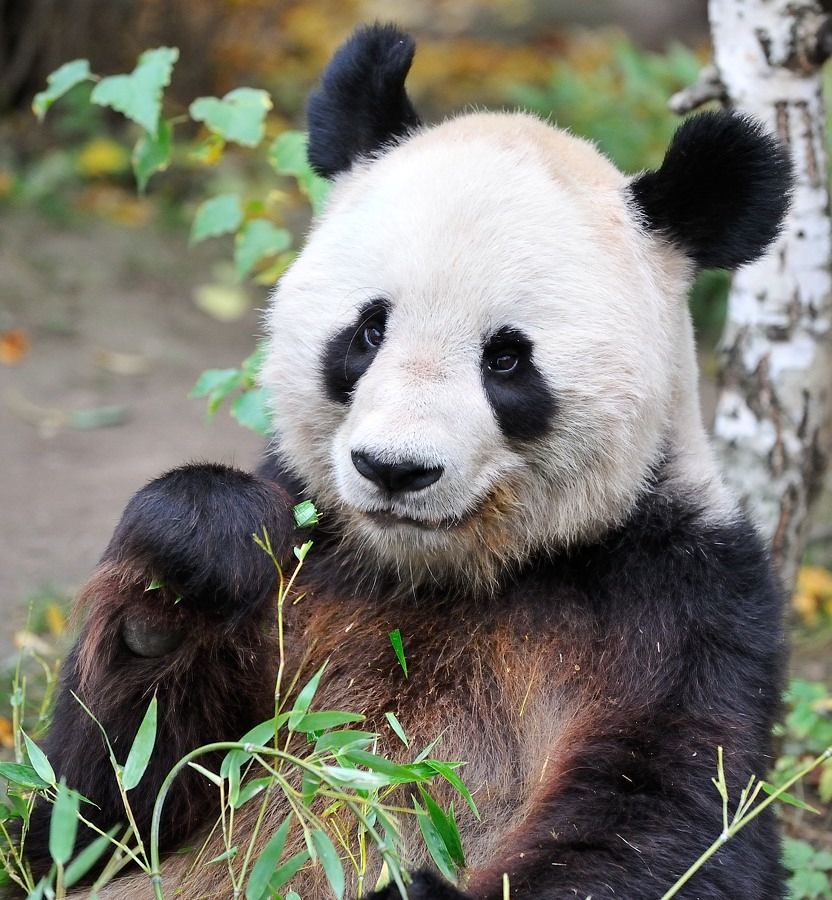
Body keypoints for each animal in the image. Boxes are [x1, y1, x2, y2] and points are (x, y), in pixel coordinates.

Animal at [25, 23, 792, 900]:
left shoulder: (678, 604)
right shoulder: (311, 570)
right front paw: (193, 559)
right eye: (367, 331)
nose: (395, 469)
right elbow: (102, 814)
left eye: (507, 360)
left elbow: (671, 817)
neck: (440, 575)